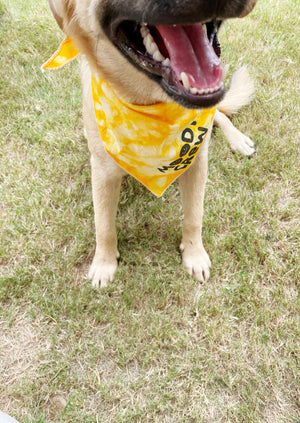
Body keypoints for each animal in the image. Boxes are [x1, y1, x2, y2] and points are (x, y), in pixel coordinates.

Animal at [45, 0, 258, 288]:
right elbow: (104, 224)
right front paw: (104, 264)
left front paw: (194, 255)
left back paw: (238, 140)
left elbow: (194, 216)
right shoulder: (102, 171)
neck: (151, 104)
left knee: (220, 114)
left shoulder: (197, 160)